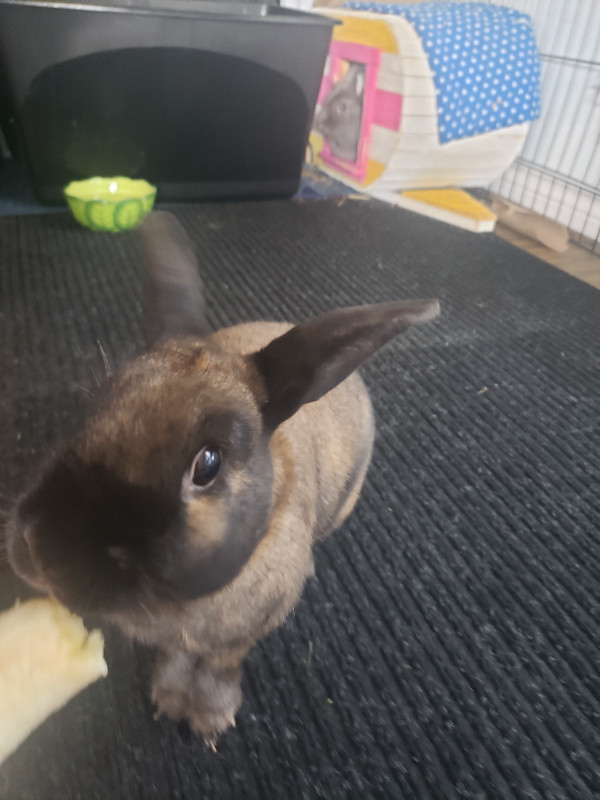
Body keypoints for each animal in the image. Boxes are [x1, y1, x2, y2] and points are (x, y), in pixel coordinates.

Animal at [5, 211, 440, 744]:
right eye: (91, 407)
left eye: (207, 464)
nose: (41, 550)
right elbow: (175, 657)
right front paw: (169, 701)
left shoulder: (240, 637)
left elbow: (218, 668)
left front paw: (209, 720)